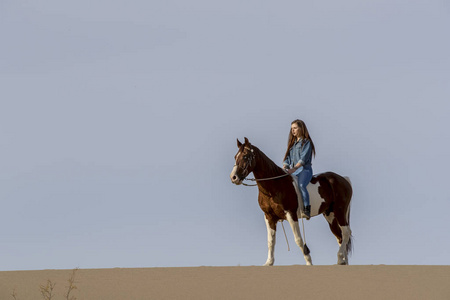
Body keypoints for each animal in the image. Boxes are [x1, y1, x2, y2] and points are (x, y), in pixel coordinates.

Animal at [230, 137, 354, 266]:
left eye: (245, 156)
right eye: (235, 156)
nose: (233, 177)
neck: (275, 185)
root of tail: (344, 179)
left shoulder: (291, 214)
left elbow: (298, 240)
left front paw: (309, 262)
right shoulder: (269, 217)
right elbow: (271, 241)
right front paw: (269, 262)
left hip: (339, 211)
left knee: (346, 232)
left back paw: (340, 257)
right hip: (330, 215)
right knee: (340, 236)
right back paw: (343, 261)